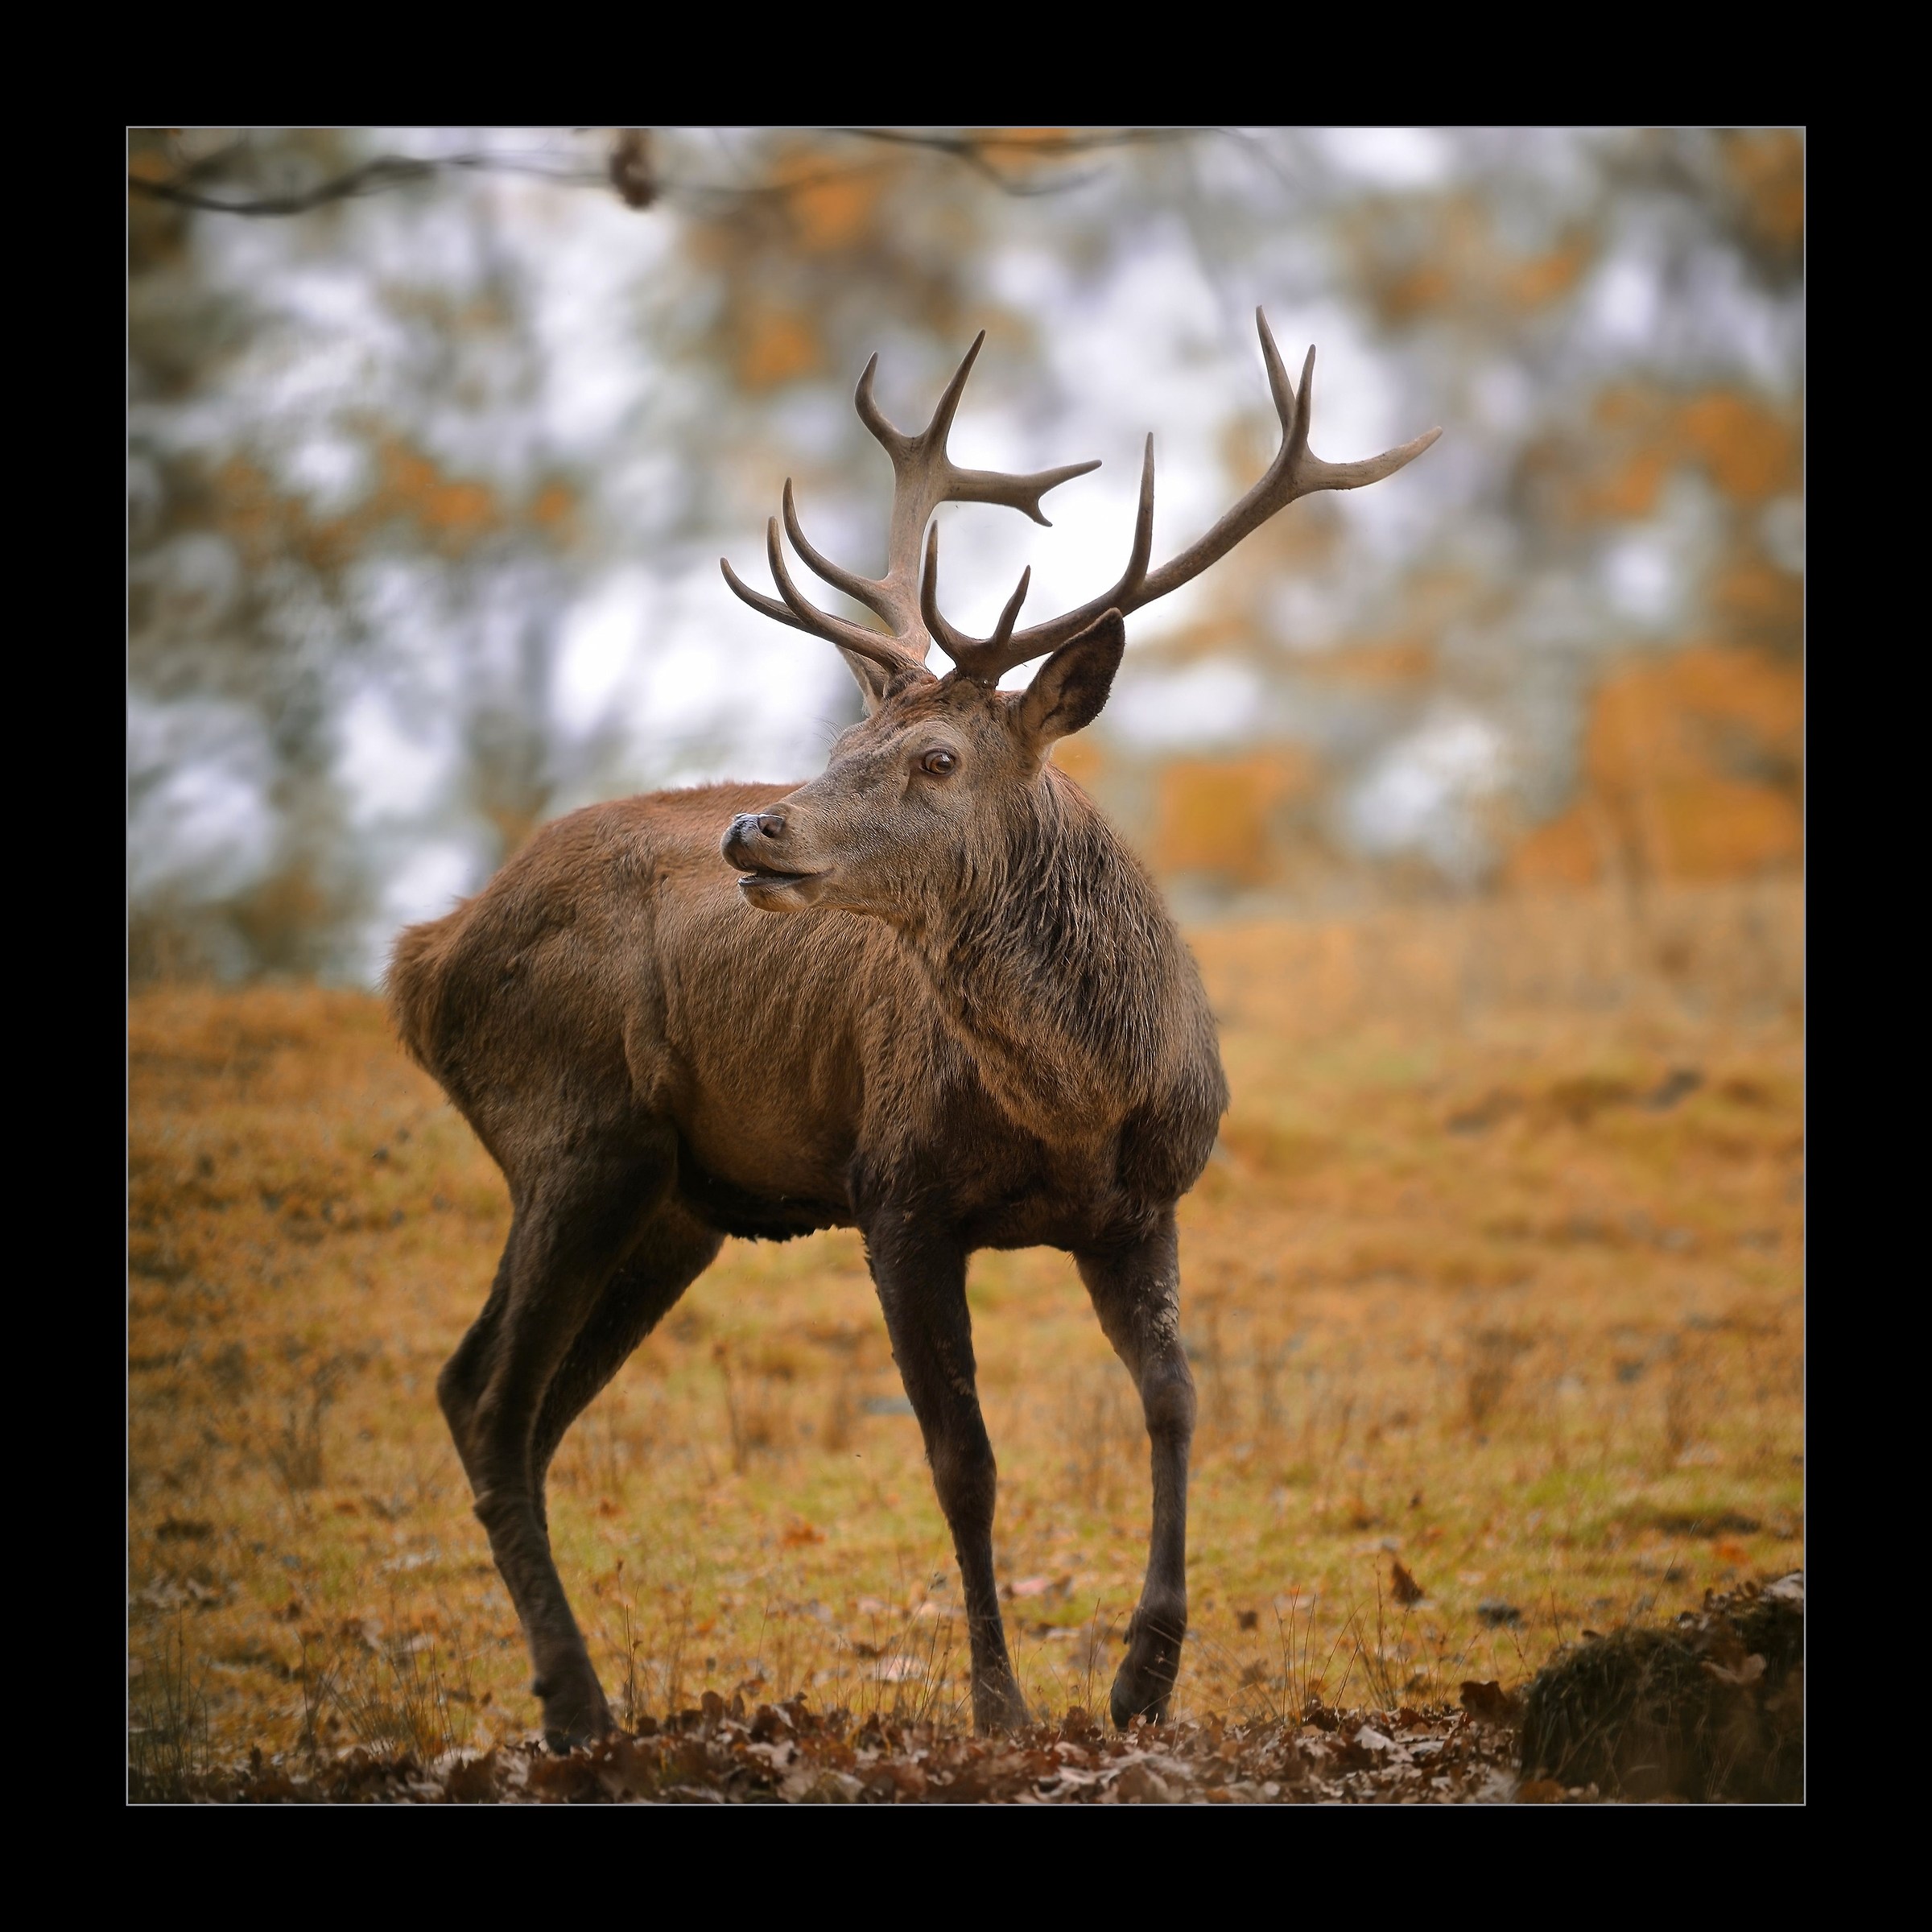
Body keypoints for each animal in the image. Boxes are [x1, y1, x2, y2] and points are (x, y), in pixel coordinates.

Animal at [387, 311, 1439, 1749]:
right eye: (843, 739)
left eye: (936, 759)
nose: (755, 827)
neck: (1074, 1108)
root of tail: (425, 959)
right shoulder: (895, 1191)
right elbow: (963, 1457)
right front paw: (1002, 1702)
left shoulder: (1145, 1204)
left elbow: (1175, 1401)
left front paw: (1144, 1676)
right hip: (574, 1132)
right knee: (488, 1400)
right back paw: (578, 1702)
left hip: (671, 1205)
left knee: (508, 1401)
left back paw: (576, 1693)